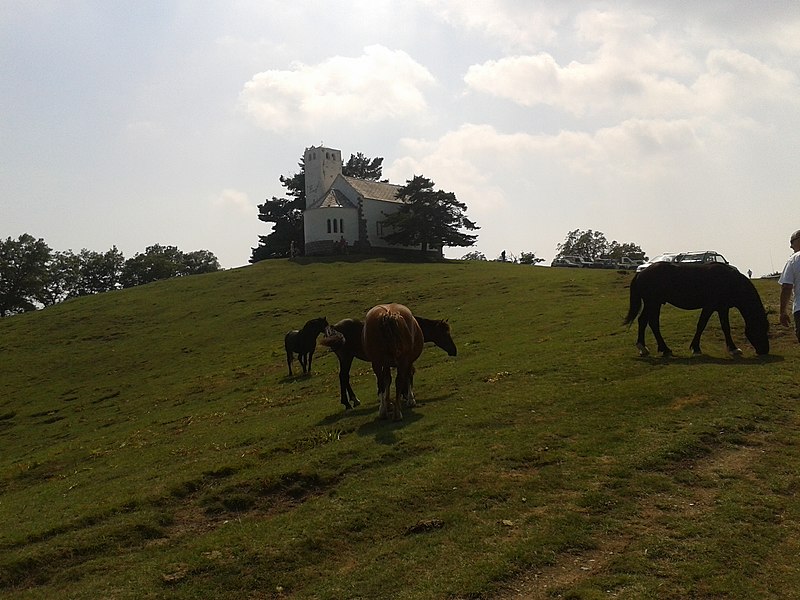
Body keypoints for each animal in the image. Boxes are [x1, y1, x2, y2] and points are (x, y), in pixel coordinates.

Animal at [318, 316, 456, 410]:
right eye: (444, 334)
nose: (454, 351)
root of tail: (335, 328)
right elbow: (407, 375)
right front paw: (407, 397)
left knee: (345, 377)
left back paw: (354, 400)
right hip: (346, 358)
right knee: (343, 376)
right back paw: (347, 403)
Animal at [624, 262, 768, 356]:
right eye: (761, 328)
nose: (765, 350)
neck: (730, 281)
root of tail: (641, 273)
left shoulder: (722, 308)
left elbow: (725, 327)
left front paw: (733, 349)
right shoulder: (709, 306)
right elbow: (701, 325)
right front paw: (696, 348)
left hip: (654, 303)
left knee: (647, 322)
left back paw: (654, 348)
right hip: (652, 303)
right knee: (648, 322)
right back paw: (657, 348)